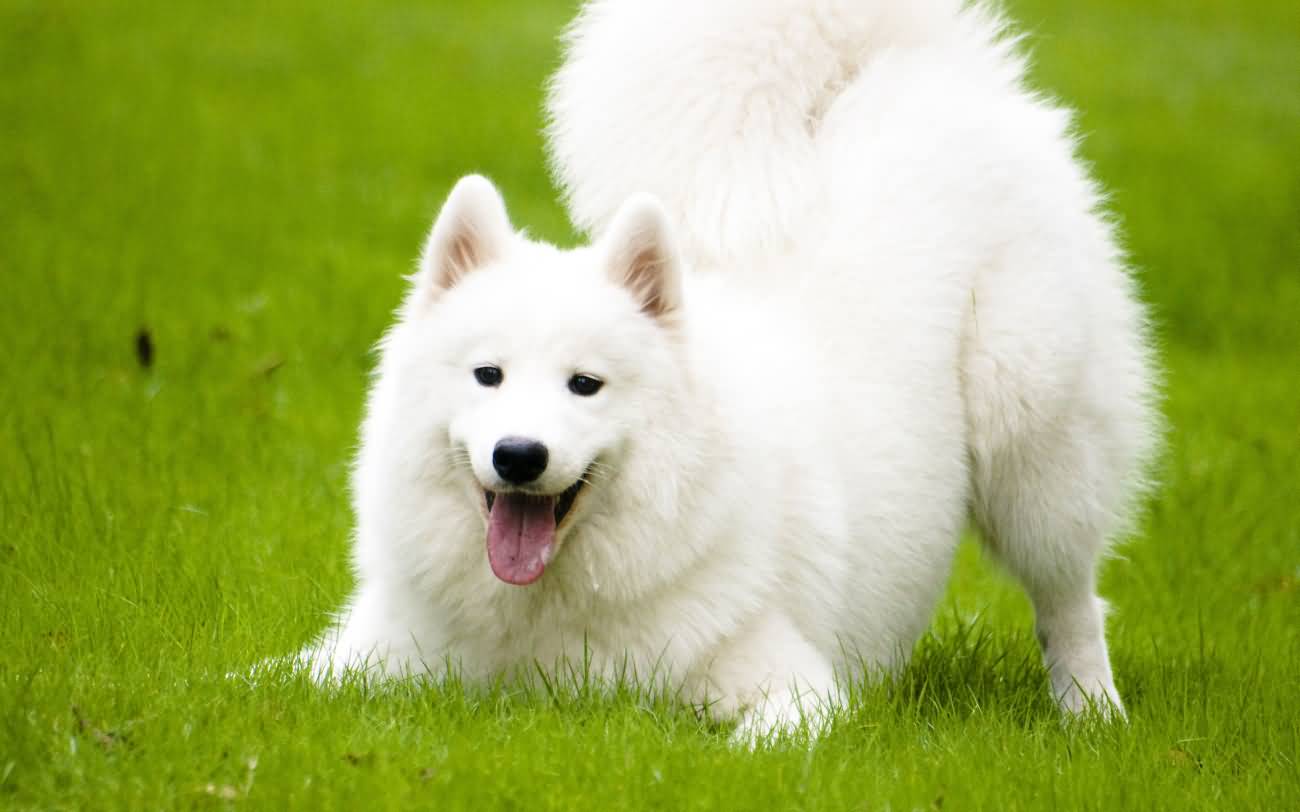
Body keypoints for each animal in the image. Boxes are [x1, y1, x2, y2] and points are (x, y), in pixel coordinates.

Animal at [301, 0, 1159, 737]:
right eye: (488, 375)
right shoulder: (365, 655)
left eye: (586, 384)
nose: (519, 457)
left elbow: (746, 742)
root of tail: (901, 67)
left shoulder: (795, 686)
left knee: (1071, 598)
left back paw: (1092, 716)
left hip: (1034, 446)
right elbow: (283, 684)